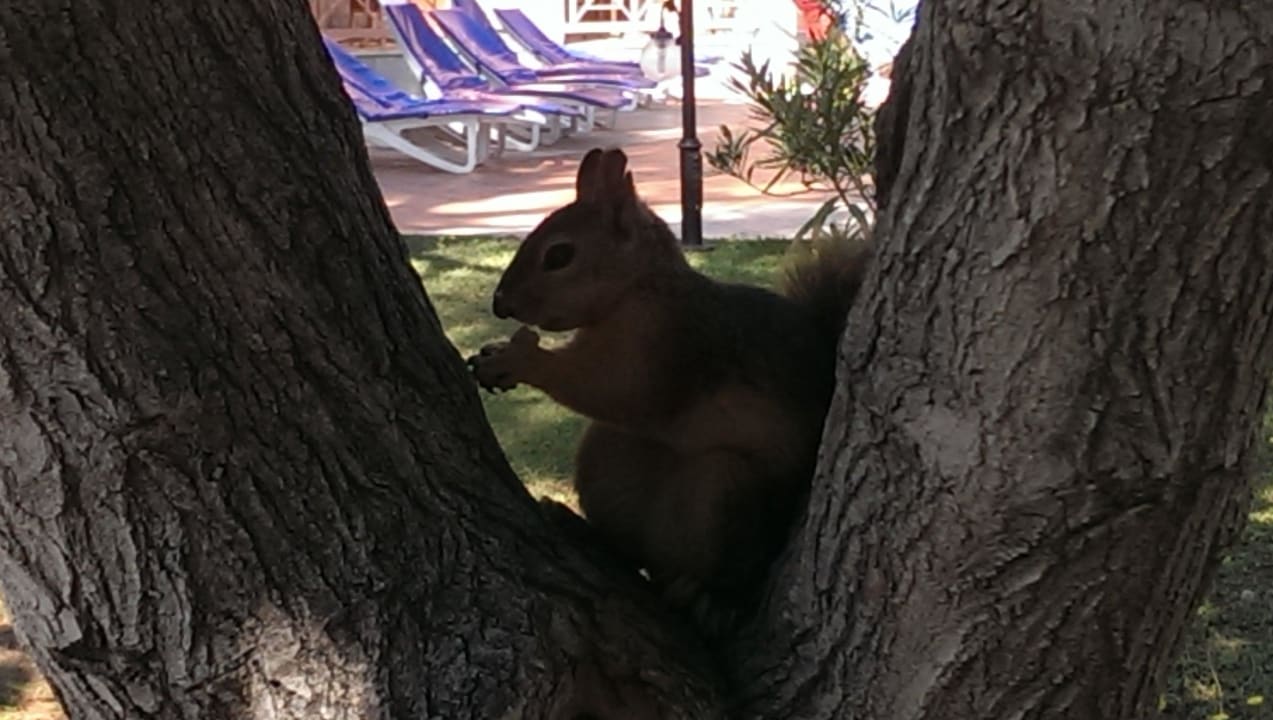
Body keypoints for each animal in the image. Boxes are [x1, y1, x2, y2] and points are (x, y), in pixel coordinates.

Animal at [467, 147, 869, 634]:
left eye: (559, 255)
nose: (499, 304)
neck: (637, 290)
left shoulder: (666, 345)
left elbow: (613, 389)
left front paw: (517, 358)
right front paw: (495, 353)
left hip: (725, 487)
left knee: (727, 561)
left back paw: (711, 597)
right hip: (608, 457)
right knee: (633, 550)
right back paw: (587, 532)